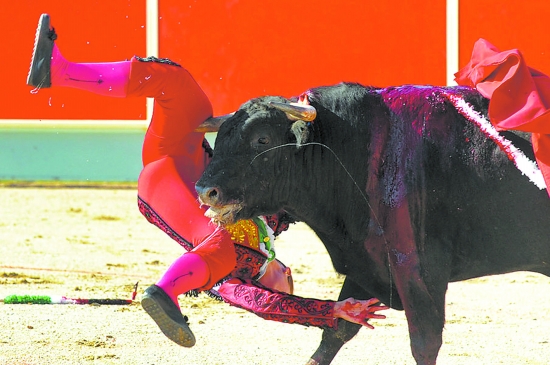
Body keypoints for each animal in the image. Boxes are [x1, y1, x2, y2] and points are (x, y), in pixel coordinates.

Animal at [195, 83, 550, 364]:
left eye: (262, 139)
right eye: (221, 137)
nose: (204, 189)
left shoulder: (417, 272)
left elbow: (424, 344)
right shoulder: (366, 263)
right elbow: (336, 333)